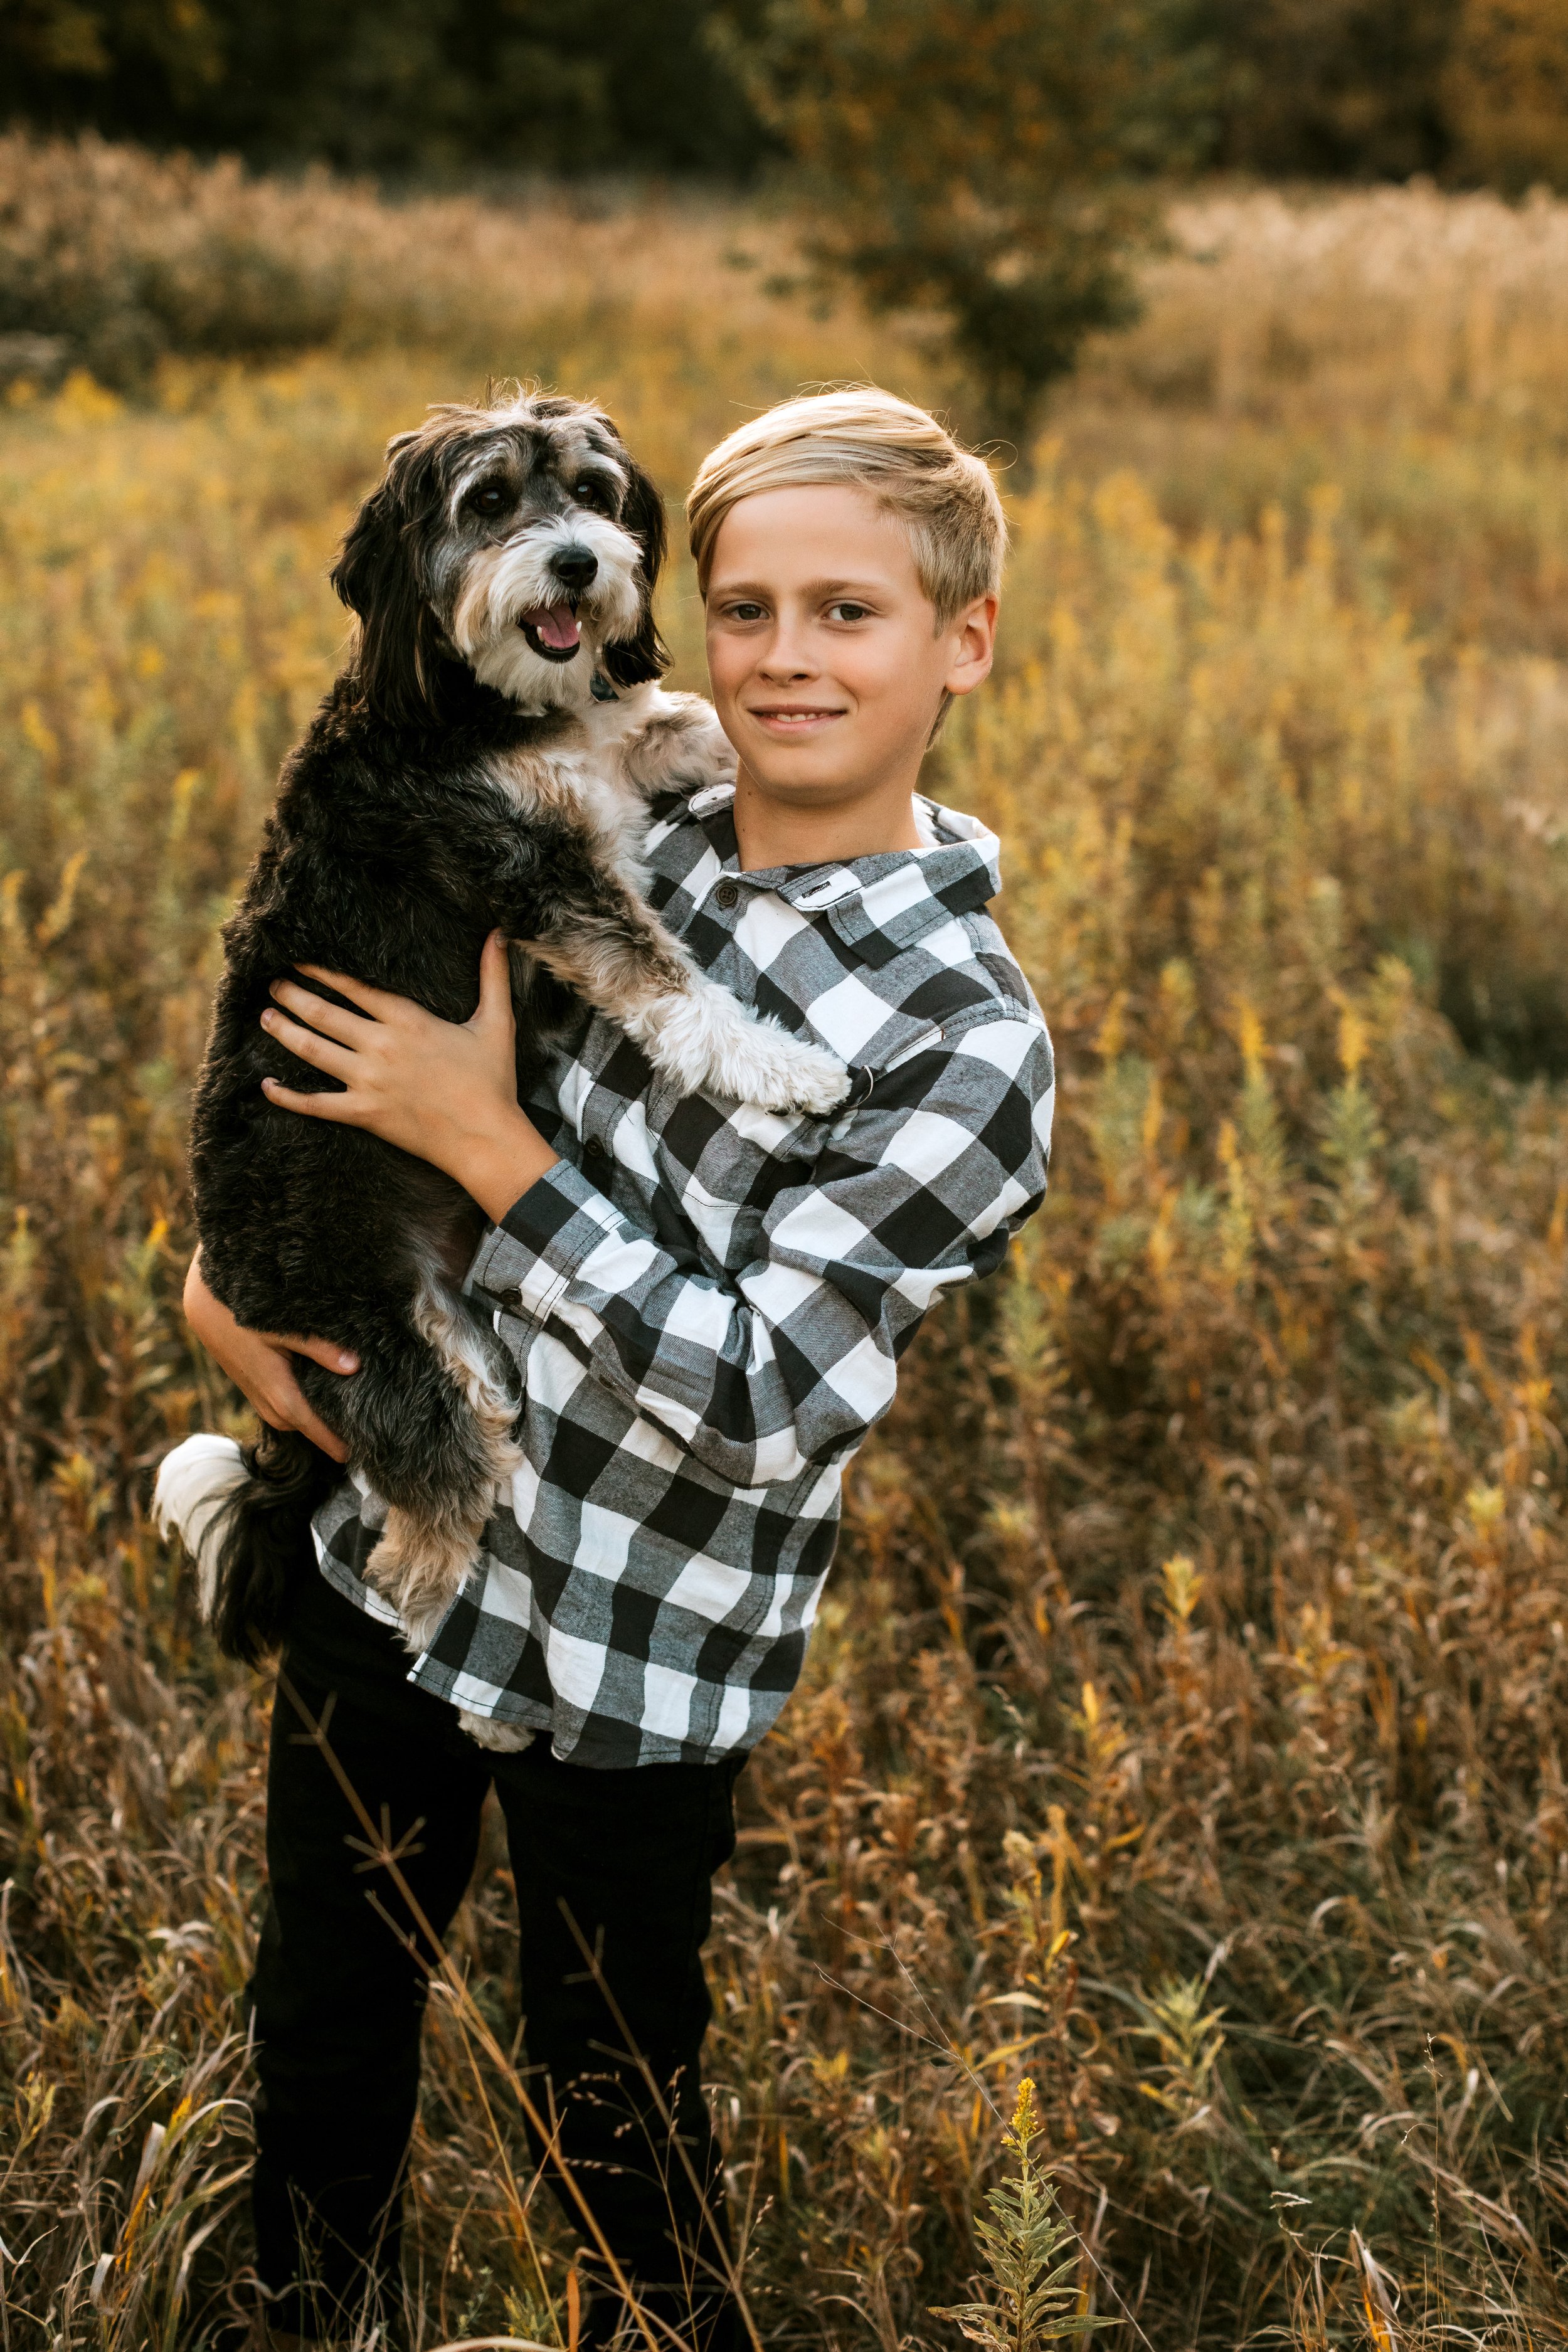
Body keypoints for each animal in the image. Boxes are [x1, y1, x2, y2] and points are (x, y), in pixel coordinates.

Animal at [156, 390, 846, 1731]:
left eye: (589, 490)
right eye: (486, 503)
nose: (578, 562)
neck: (476, 708)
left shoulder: (608, 770)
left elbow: (683, 724)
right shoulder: (534, 870)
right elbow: (668, 986)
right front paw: (782, 1068)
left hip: (469, 1347)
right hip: (403, 1368)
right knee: (420, 1542)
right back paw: (472, 1698)